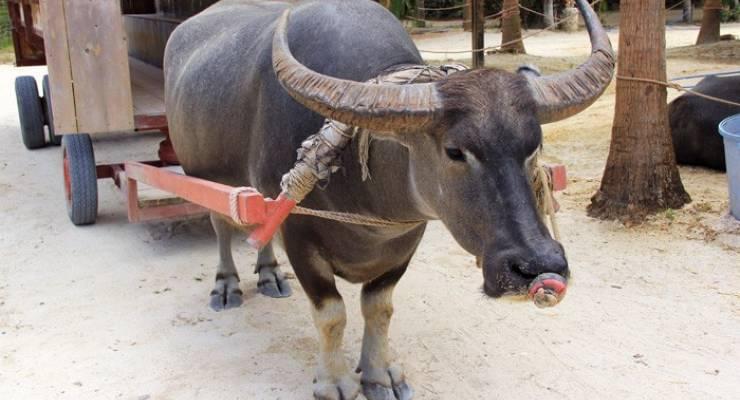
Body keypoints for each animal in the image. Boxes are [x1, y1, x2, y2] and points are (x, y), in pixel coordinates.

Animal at [165, 0, 616, 396]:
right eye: (455, 151)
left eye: (534, 144)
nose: (538, 265)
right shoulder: (299, 235)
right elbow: (331, 313)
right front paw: (335, 382)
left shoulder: (405, 240)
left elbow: (378, 307)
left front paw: (380, 375)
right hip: (204, 174)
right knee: (223, 226)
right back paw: (226, 286)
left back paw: (269, 275)